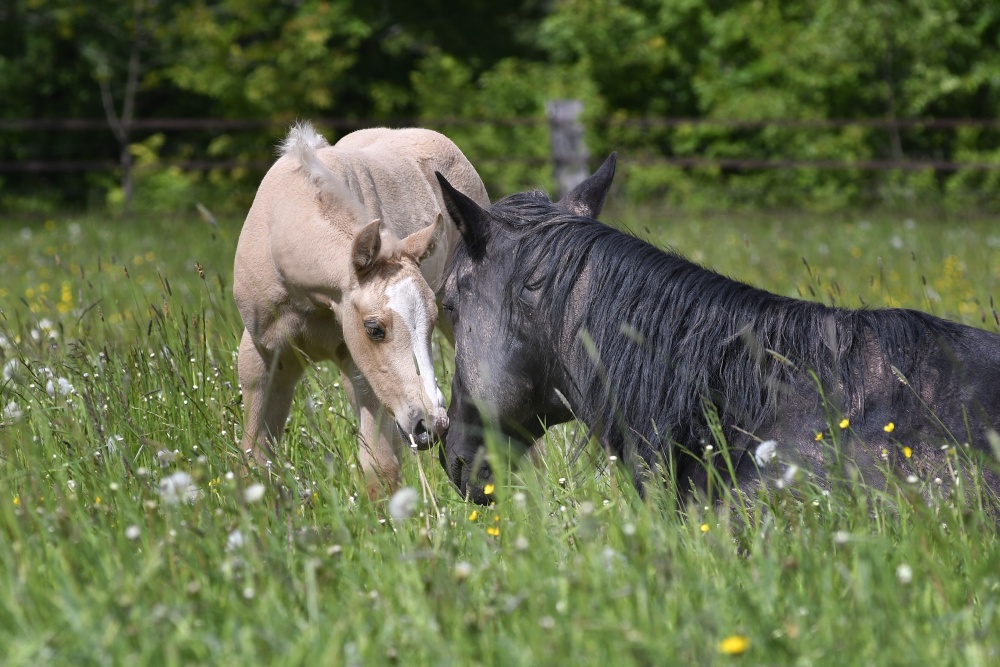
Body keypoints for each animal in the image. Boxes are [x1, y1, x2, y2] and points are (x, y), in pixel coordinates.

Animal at [231, 121, 488, 496]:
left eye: (427, 324)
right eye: (374, 328)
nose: (432, 425)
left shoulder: (360, 371)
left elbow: (378, 470)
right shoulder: (263, 357)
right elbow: (256, 461)